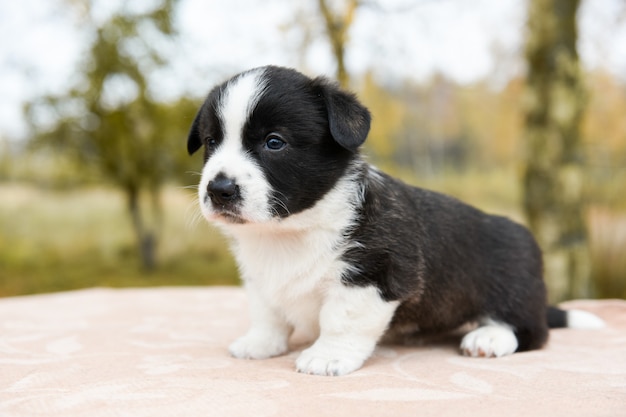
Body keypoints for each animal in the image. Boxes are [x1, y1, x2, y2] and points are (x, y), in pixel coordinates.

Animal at [186, 66, 604, 376]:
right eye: (211, 142)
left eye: (274, 142)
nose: (219, 189)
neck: (290, 230)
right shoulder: (261, 278)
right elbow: (267, 313)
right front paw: (260, 343)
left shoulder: (373, 274)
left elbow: (340, 318)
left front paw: (326, 356)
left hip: (515, 290)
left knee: (532, 332)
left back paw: (489, 338)